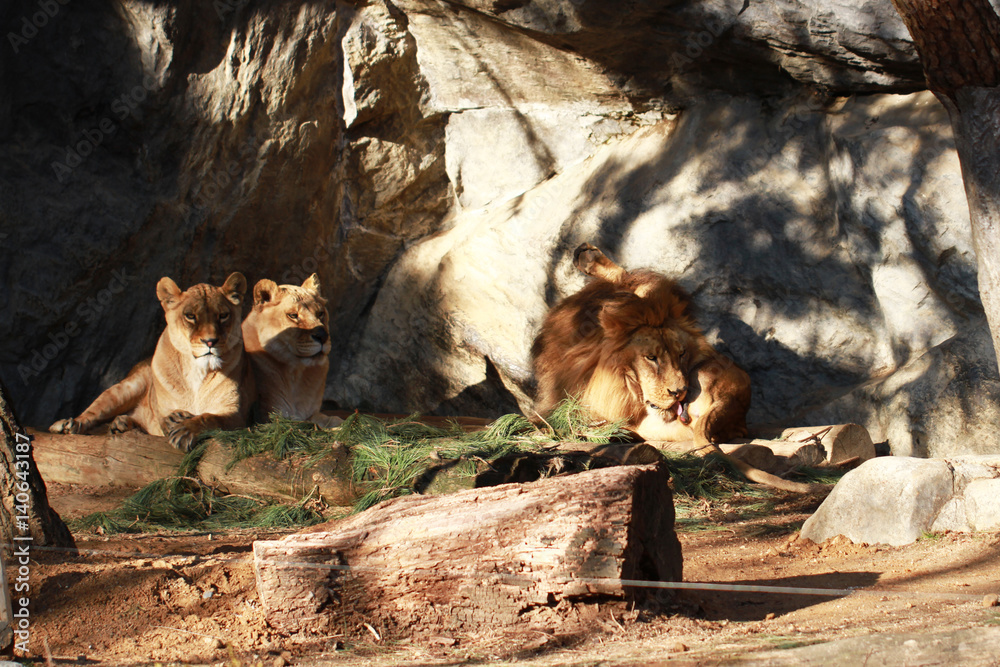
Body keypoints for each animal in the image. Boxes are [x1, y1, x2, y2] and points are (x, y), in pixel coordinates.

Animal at [49, 273, 254, 451]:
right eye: (190, 316)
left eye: (223, 315)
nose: (210, 341)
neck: (198, 370)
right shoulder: (162, 408)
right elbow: (165, 419)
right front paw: (175, 419)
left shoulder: (237, 416)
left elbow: (210, 418)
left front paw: (186, 430)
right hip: (126, 388)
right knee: (93, 412)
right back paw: (68, 425)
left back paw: (121, 424)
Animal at [241, 274, 342, 428]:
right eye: (293, 315)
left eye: (320, 313)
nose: (323, 335)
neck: (297, 374)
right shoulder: (269, 417)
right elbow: (305, 424)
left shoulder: (310, 412)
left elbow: (323, 418)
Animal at [531, 243, 825, 494]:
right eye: (651, 357)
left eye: (681, 353)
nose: (680, 392)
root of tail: (736, 409)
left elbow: (634, 285)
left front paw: (589, 257)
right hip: (659, 427)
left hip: (701, 377)